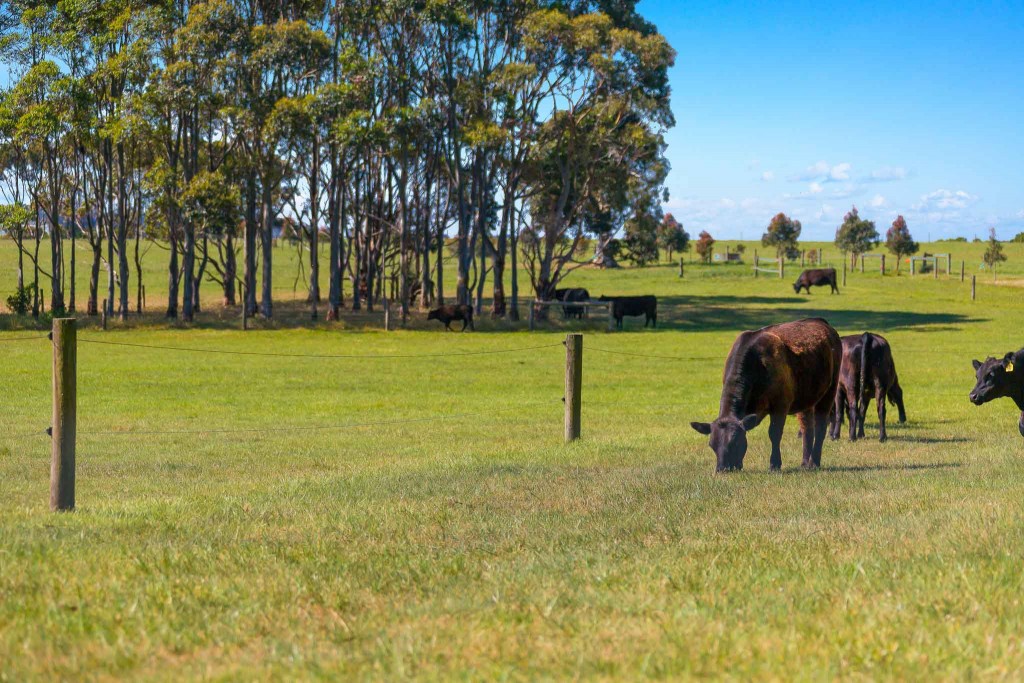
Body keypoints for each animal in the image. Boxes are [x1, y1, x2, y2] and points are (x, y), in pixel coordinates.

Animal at [688, 317, 839, 473]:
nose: (722, 469)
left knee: (820, 426)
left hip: (830, 390)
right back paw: (804, 463)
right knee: (807, 428)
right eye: (712, 445)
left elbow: (774, 433)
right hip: (806, 399)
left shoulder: (780, 405)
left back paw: (814, 462)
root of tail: (820, 321)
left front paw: (774, 464)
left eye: (734, 442)